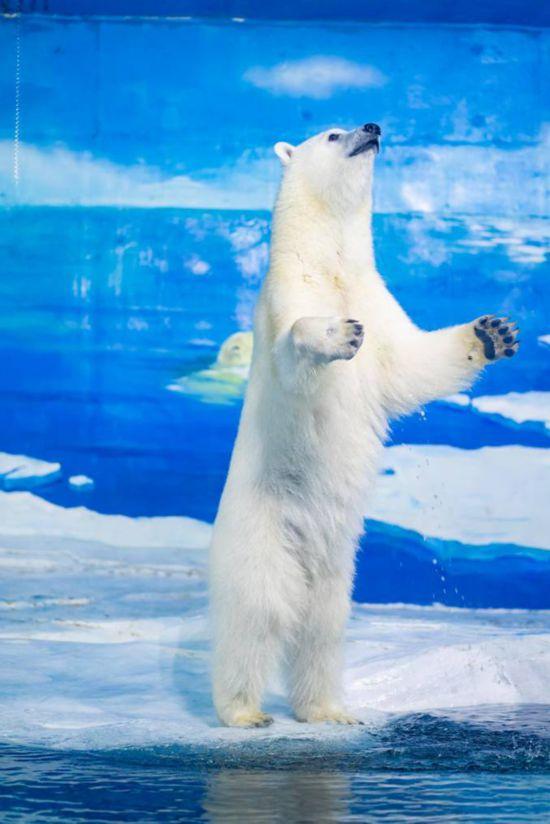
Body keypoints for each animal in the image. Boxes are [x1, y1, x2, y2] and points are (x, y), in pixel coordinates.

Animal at [209, 122, 520, 728]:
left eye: (359, 125)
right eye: (334, 133)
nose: (373, 128)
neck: (329, 260)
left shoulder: (377, 300)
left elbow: (410, 365)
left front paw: (493, 332)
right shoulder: (289, 291)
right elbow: (295, 355)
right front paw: (335, 334)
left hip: (338, 564)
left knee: (322, 629)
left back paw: (326, 709)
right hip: (261, 531)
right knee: (256, 615)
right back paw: (244, 711)